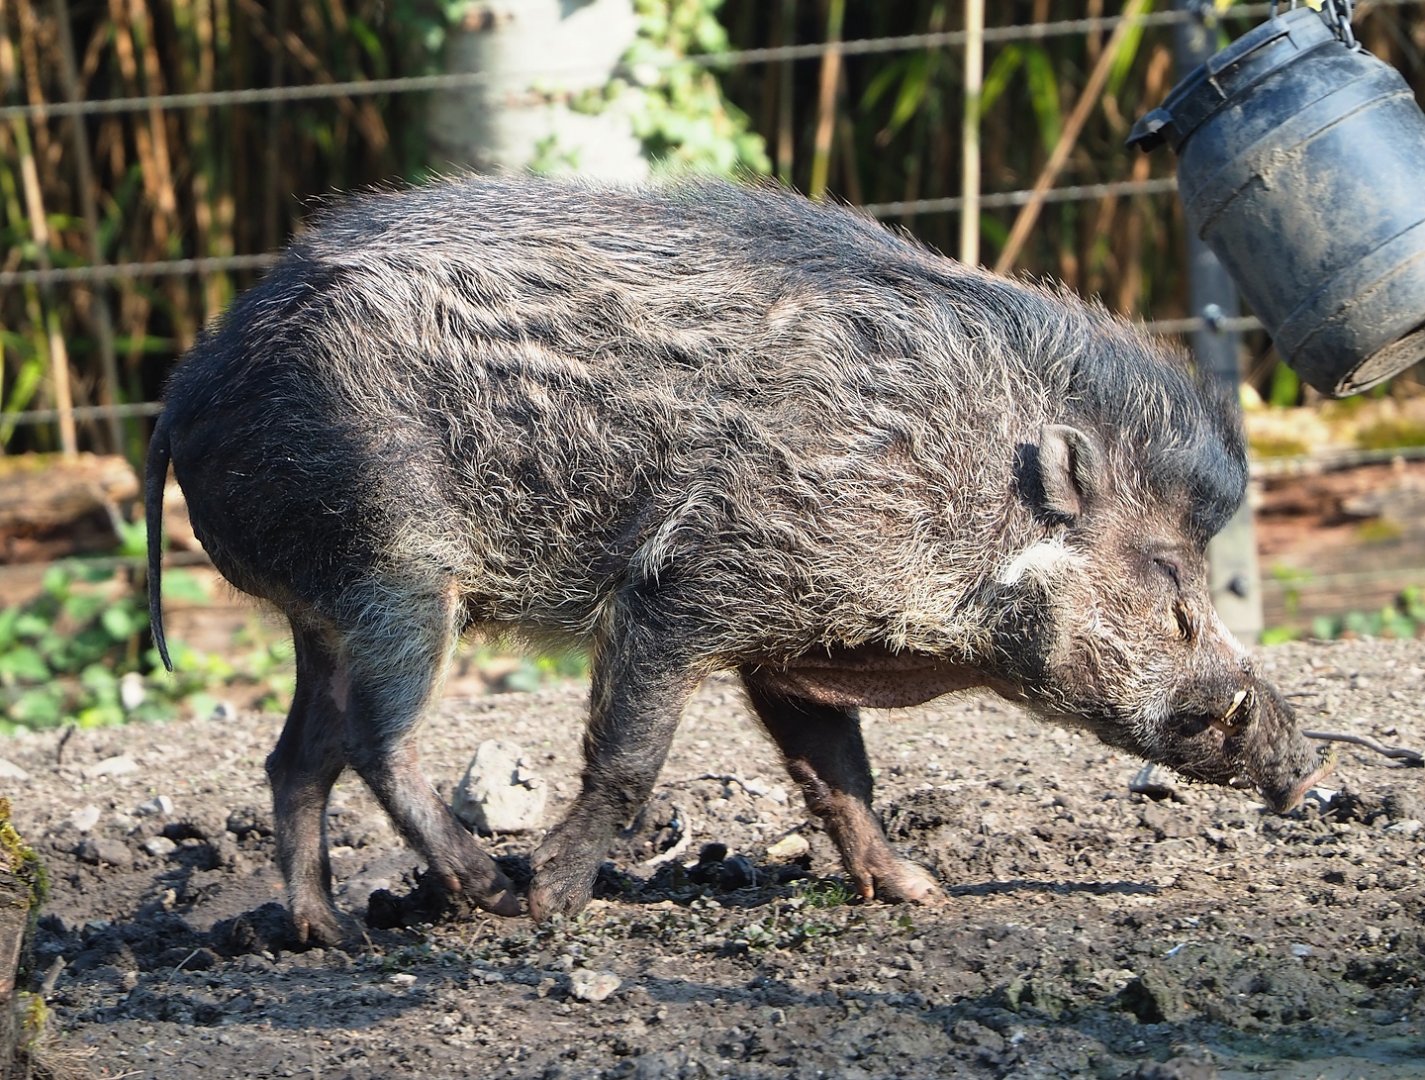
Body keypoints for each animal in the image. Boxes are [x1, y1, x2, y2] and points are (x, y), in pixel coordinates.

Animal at [144, 175, 1334, 946]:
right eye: (1175, 601)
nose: (1298, 764)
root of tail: (189, 381)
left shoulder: (791, 646)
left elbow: (840, 775)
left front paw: (922, 895)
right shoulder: (687, 590)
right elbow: (630, 762)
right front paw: (553, 906)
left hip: (320, 611)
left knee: (294, 758)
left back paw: (325, 936)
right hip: (397, 576)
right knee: (376, 741)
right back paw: (484, 891)